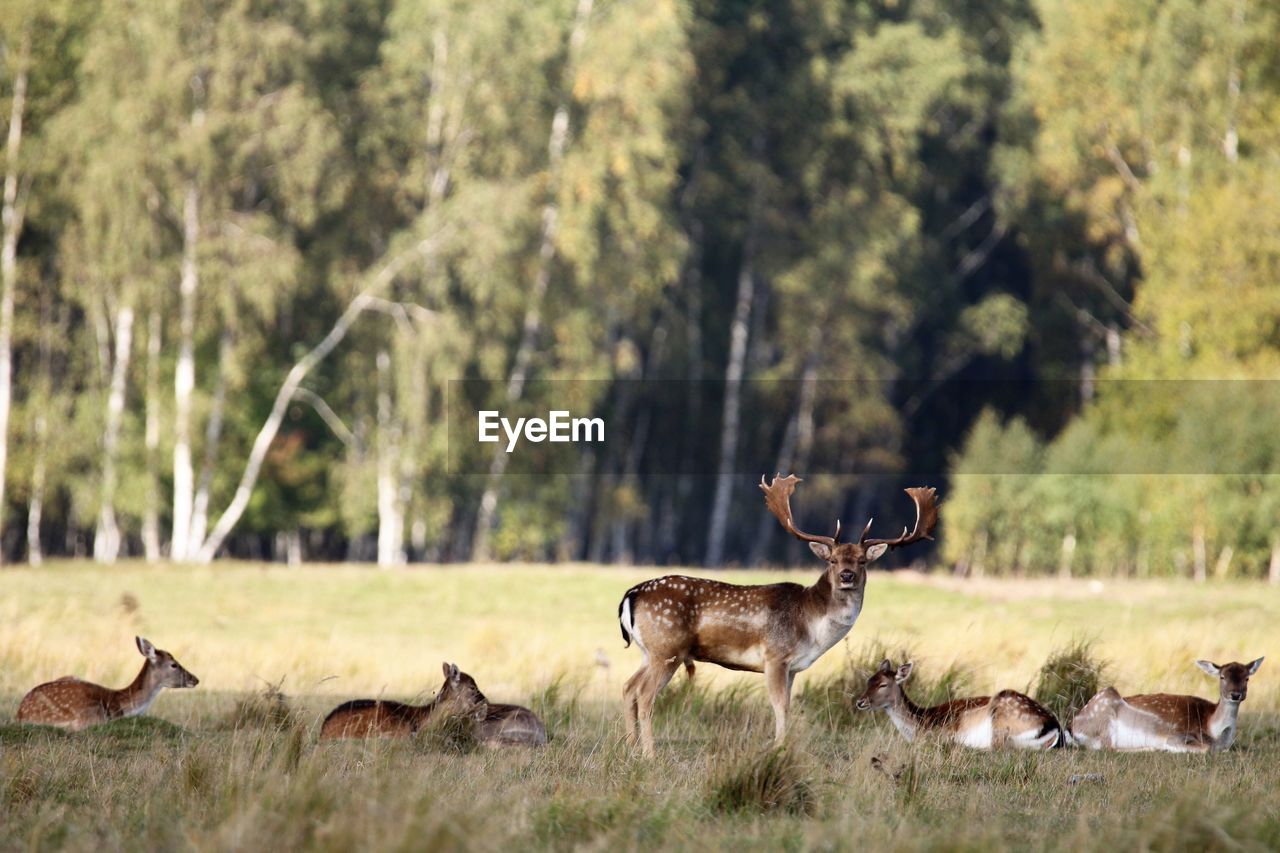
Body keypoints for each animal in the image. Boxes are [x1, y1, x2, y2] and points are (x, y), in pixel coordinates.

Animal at [614, 473, 936, 753]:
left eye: (861, 561)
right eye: (832, 560)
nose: (847, 576)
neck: (812, 626)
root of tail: (632, 594)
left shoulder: (792, 667)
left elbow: (788, 706)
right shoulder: (775, 656)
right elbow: (779, 705)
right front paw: (778, 748)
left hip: (651, 651)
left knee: (628, 687)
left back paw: (630, 748)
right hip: (667, 648)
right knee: (645, 696)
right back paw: (649, 753)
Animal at [855, 653, 1064, 747]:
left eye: (883, 685)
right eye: (869, 680)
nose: (860, 702)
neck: (920, 723)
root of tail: (1053, 727)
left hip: (1002, 722)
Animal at [1070, 655, 1259, 753]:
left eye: (1247, 678)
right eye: (1222, 677)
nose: (1236, 694)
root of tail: (1072, 727)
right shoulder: (1178, 735)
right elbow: (1204, 748)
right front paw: (1168, 748)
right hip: (1105, 708)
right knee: (1108, 747)